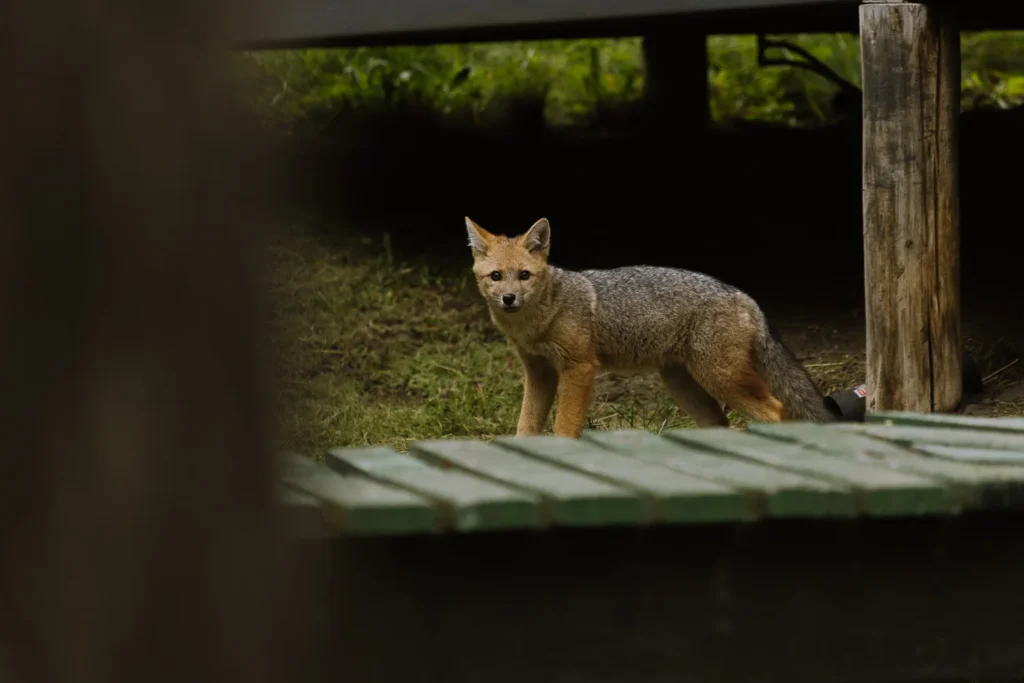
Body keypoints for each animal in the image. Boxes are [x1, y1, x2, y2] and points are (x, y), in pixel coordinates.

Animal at [465, 216, 837, 438]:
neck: (537, 321)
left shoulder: (579, 368)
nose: (509, 298)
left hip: (720, 378)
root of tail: (743, 296)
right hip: (684, 383)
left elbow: (564, 426)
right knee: (722, 424)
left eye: (524, 275)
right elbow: (526, 426)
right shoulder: (539, 372)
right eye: (496, 276)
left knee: (778, 412)